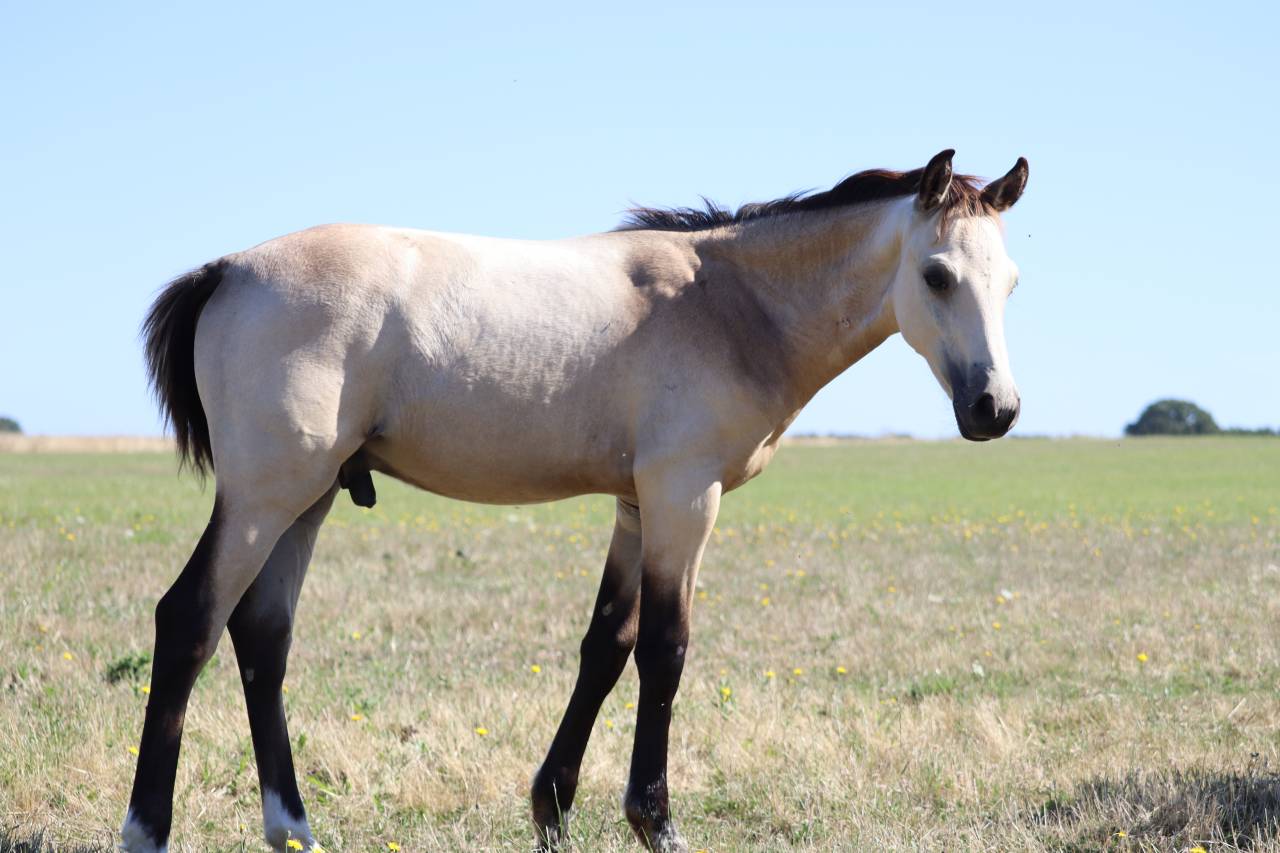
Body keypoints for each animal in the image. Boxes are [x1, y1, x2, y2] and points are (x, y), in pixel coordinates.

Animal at [121, 149, 1028, 853]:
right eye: (937, 274)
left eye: (1011, 282)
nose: (997, 408)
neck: (730, 303)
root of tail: (228, 270)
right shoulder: (683, 498)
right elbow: (664, 649)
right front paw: (654, 819)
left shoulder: (635, 507)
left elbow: (606, 645)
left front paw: (552, 807)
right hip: (265, 498)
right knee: (189, 620)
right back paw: (147, 826)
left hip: (305, 501)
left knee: (261, 636)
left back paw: (293, 826)